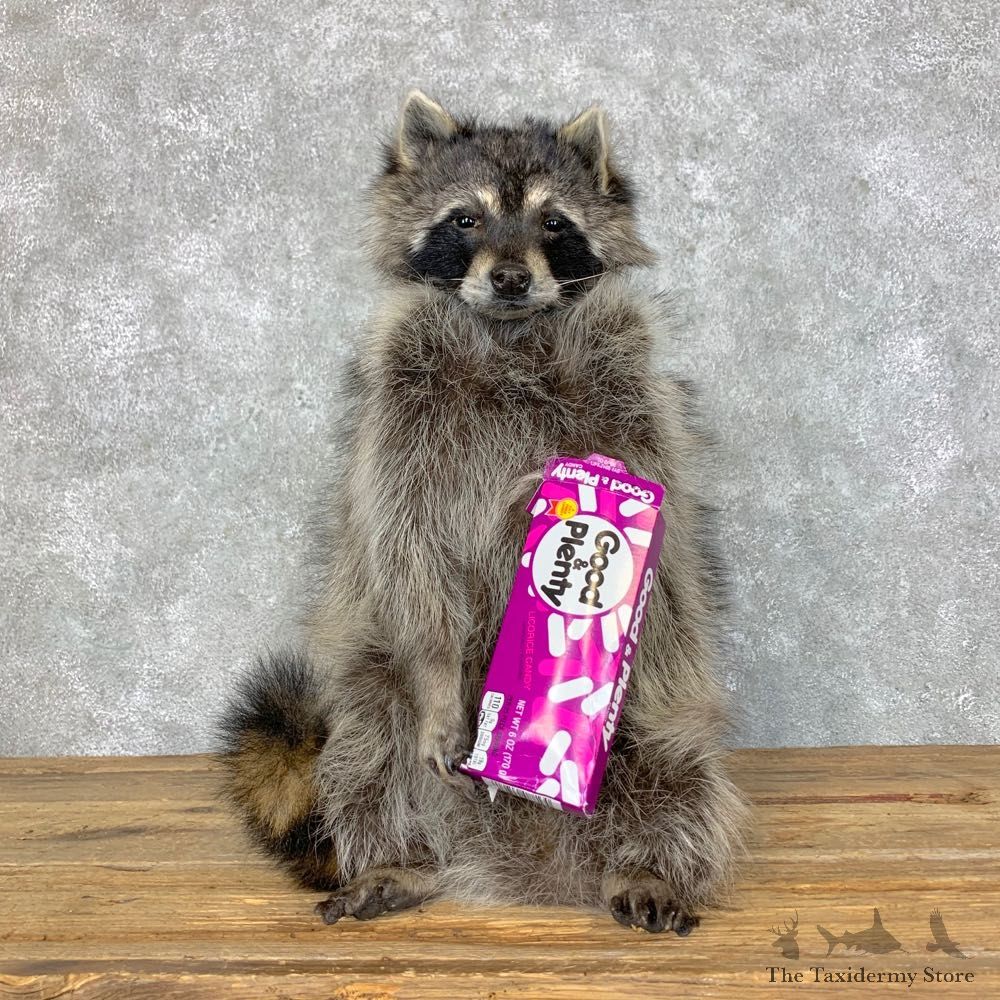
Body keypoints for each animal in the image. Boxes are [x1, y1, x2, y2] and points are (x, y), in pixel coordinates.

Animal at [218, 90, 748, 935]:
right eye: (465, 219)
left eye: (554, 222)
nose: (508, 277)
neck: (509, 333)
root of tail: (527, 874)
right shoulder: (400, 400)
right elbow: (408, 543)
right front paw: (441, 675)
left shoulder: (630, 384)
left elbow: (660, 516)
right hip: (371, 679)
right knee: (369, 747)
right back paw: (400, 858)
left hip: (664, 712)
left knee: (679, 765)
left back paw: (651, 865)